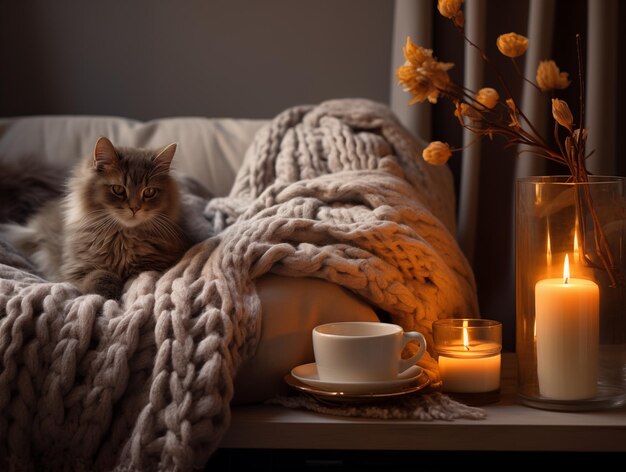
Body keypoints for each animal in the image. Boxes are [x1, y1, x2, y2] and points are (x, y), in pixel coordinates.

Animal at [1, 136, 189, 298]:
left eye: (149, 192)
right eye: (118, 189)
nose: (135, 208)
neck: (123, 239)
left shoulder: (152, 264)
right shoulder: (79, 267)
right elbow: (99, 275)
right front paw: (103, 293)